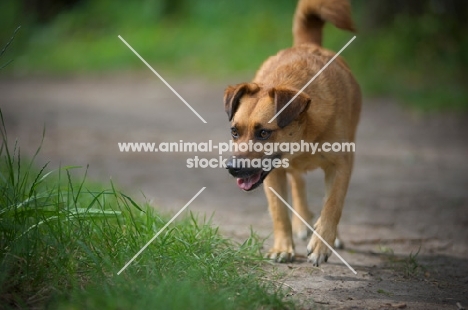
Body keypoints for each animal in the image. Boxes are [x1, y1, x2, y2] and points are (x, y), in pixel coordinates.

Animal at [225, 0, 360, 266]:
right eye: (235, 131)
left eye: (264, 133)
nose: (232, 168)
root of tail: (307, 44)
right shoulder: (273, 175)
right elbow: (279, 212)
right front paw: (282, 247)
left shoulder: (342, 164)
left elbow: (333, 204)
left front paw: (321, 244)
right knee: (298, 184)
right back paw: (301, 224)